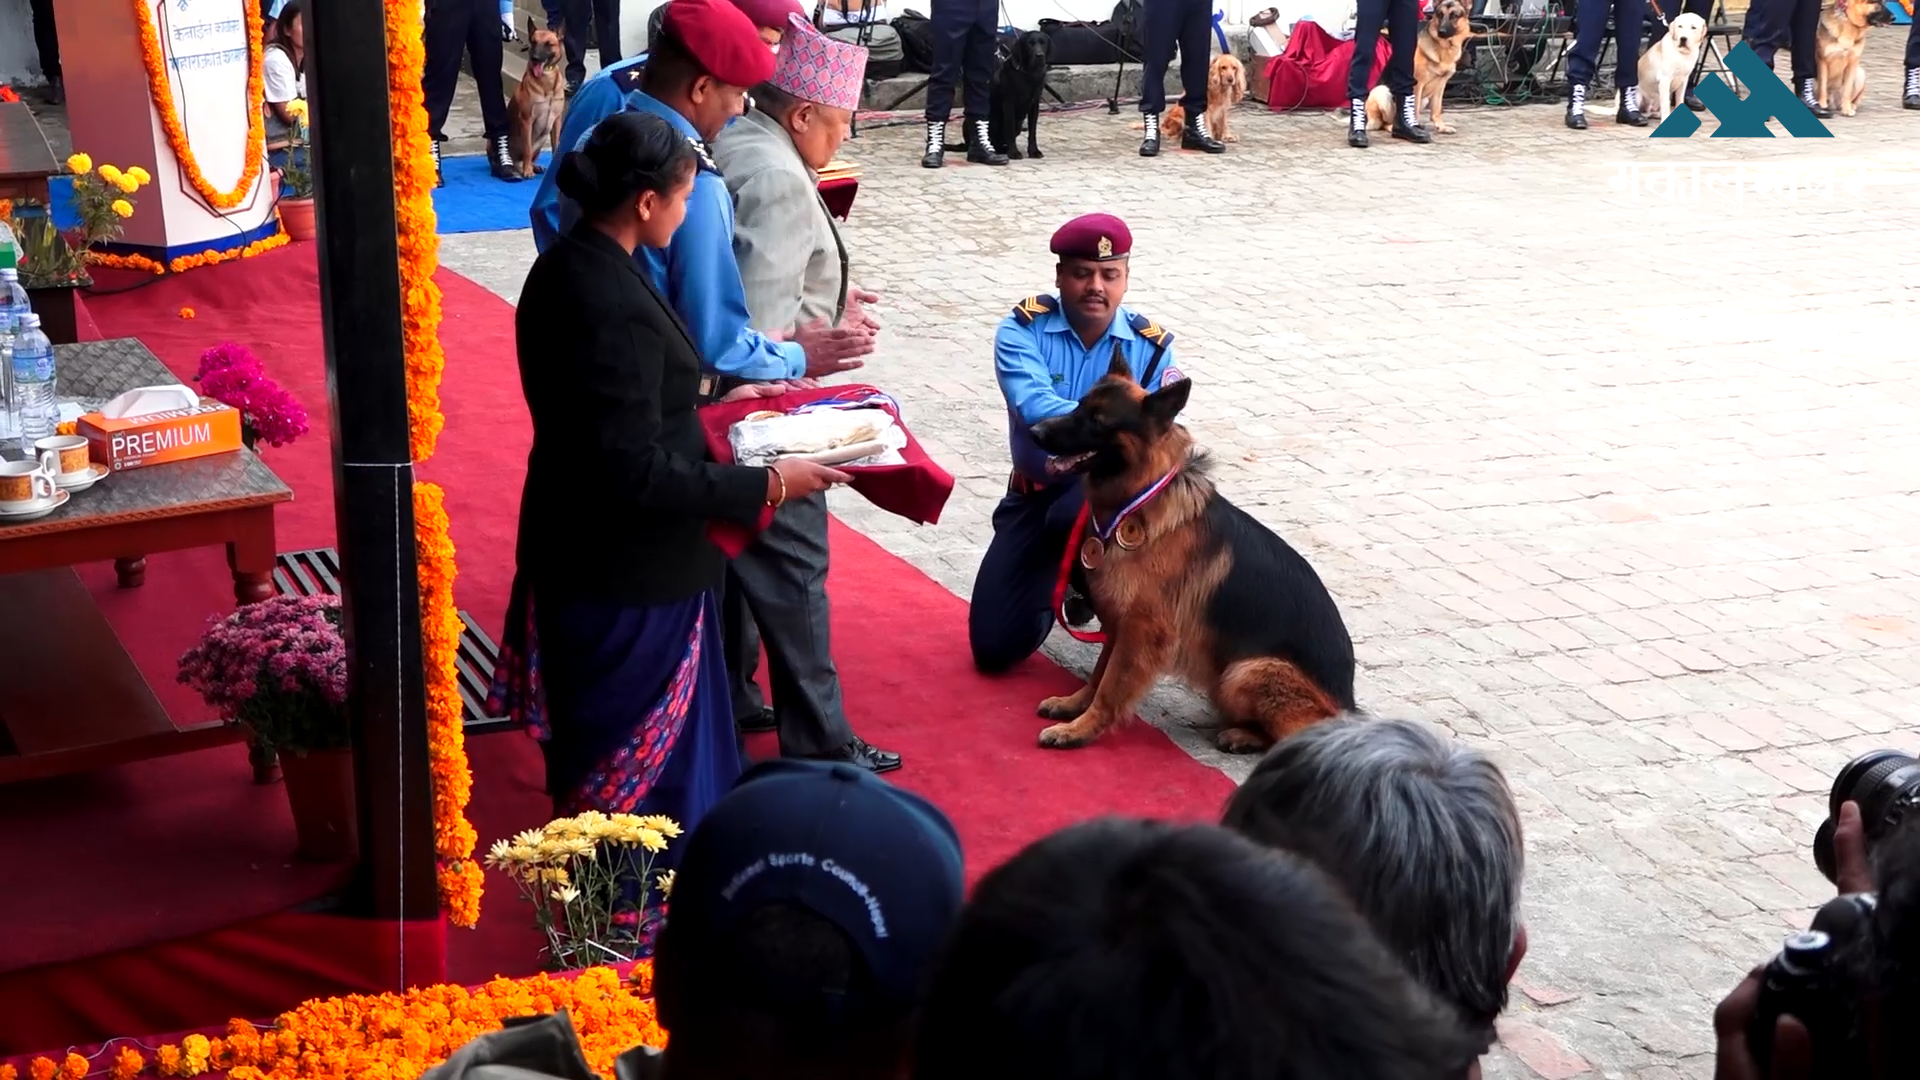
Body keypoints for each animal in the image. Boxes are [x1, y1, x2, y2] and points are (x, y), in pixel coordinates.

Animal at [1029, 349, 1359, 753]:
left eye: (1098, 420)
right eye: (1078, 405)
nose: (1035, 432)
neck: (1141, 497)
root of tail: (1347, 702)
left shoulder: (1142, 631)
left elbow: (1110, 687)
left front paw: (1079, 730)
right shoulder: (1122, 623)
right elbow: (1099, 674)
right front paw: (1074, 705)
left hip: (1248, 671)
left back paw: (1245, 736)